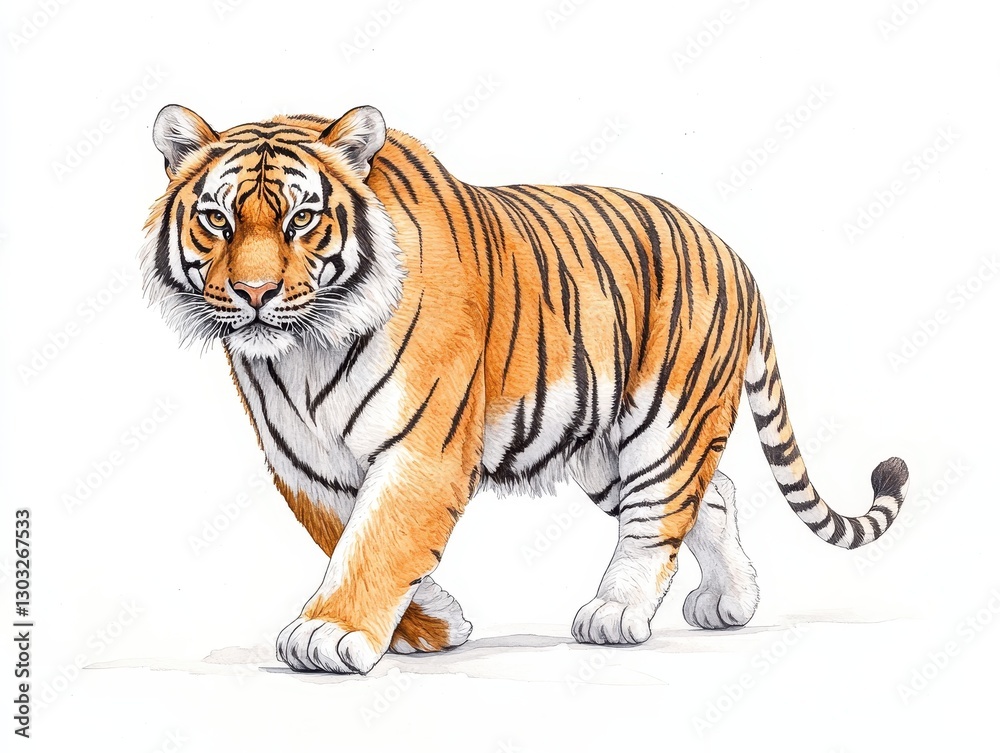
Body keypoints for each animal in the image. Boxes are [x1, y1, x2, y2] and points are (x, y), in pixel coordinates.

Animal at [141, 103, 909, 674]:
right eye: (216, 219)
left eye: (301, 219)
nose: (255, 293)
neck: (302, 353)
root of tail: (734, 254)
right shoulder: (305, 462)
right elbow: (346, 535)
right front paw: (433, 624)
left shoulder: (422, 449)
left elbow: (378, 539)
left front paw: (329, 634)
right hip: (601, 445)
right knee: (712, 494)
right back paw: (731, 602)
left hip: (665, 422)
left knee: (659, 516)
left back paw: (615, 613)